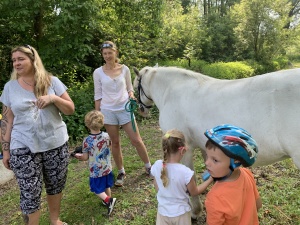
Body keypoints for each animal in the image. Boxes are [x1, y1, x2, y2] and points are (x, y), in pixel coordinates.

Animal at [134, 65, 300, 218]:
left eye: (136, 87)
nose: (141, 110)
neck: (171, 91)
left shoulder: (185, 149)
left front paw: (195, 211)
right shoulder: (204, 145)